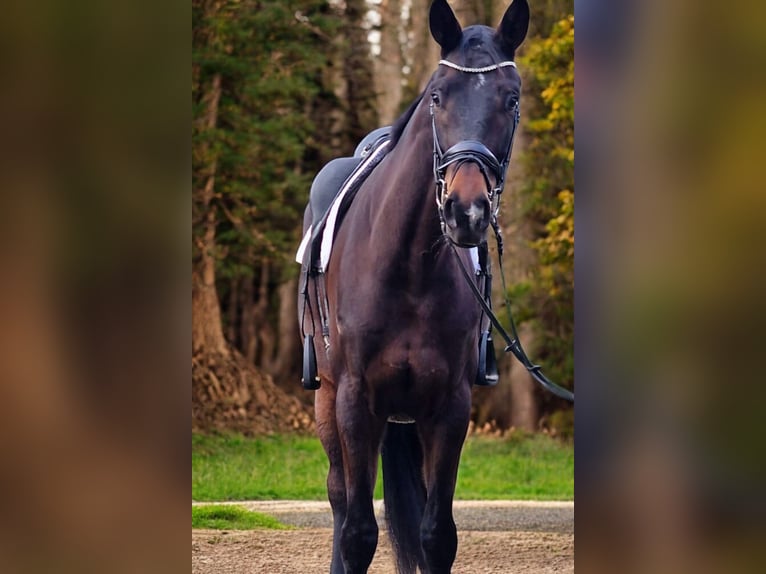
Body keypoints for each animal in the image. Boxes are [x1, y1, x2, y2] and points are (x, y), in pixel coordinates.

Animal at [298, 2, 528, 572]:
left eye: (511, 99)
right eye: (437, 96)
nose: (466, 211)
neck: (408, 268)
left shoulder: (449, 406)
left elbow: (436, 534)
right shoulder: (354, 401)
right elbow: (358, 530)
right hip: (327, 402)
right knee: (340, 499)